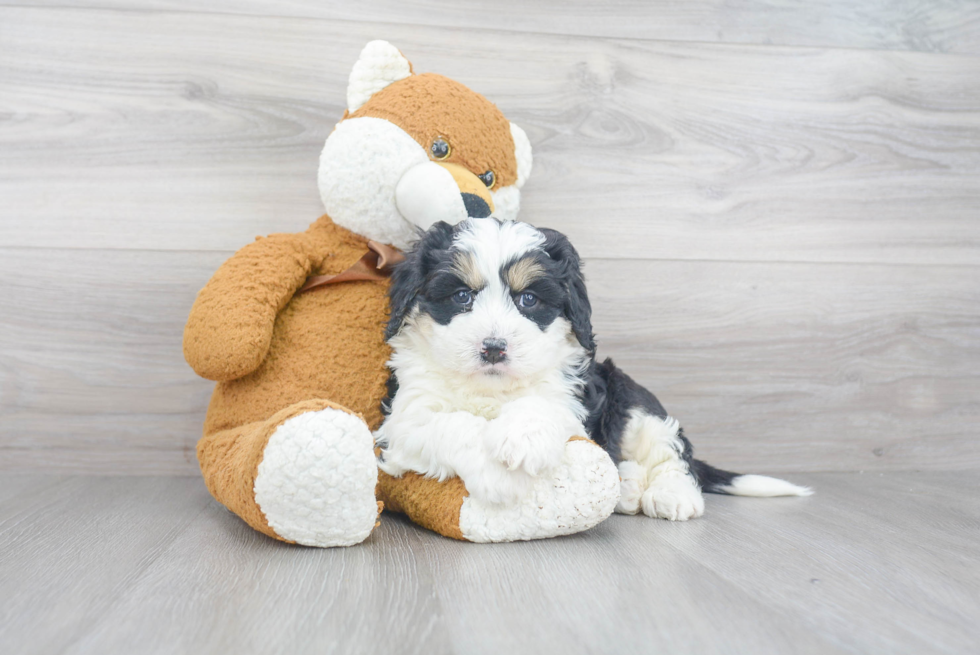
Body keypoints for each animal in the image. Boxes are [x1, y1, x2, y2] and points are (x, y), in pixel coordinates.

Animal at [376, 220, 812, 524]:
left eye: (528, 299)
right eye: (462, 295)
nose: (494, 347)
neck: (491, 390)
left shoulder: (572, 398)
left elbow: (542, 406)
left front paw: (521, 440)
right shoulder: (405, 417)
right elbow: (451, 425)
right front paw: (496, 474)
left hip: (632, 402)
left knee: (671, 448)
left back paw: (672, 494)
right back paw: (629, 486)